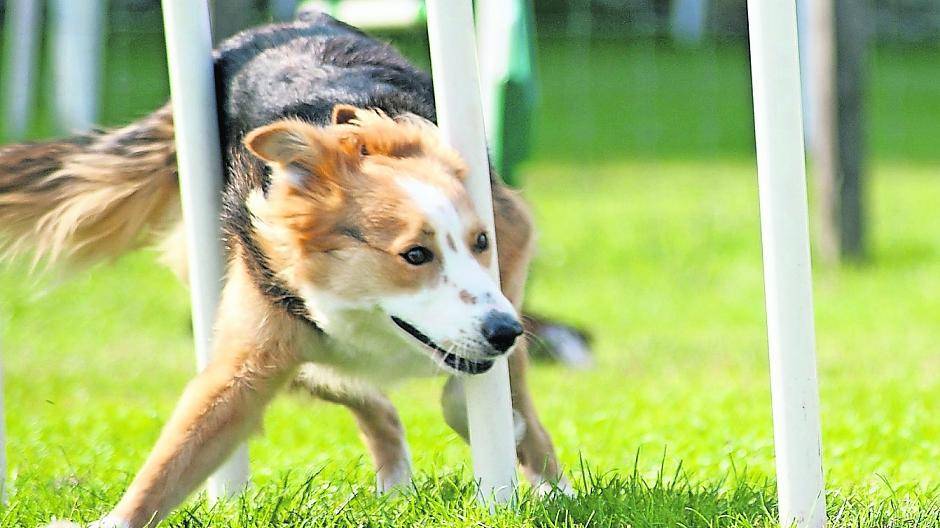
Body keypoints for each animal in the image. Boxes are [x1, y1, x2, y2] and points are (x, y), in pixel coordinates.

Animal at [0, 12, 564, 528]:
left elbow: (480, 392)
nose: (507, 331)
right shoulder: (249, 354)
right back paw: (397, 483)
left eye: (481, 243)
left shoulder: (511, 245)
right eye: (415, 255)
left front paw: (539, 470)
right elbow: (179, 451)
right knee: (366, 398)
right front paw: (116, 520)